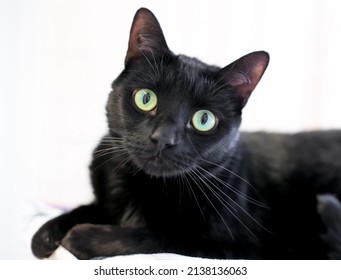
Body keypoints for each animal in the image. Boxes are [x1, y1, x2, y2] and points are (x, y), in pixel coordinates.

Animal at [31, 7, 340, 260]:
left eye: (204, 119)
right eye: (146, 98)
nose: (163, 138)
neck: (141, 187)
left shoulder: (235, 247)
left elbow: (159, 236)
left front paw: (83, 237)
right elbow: (88, 206)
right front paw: (46, 233)